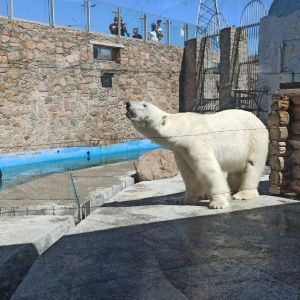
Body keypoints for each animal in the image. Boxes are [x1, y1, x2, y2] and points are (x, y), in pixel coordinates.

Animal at [125, 101, 268, 209]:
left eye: (144, 105)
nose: (128, 103)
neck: (183, 129)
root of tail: (258, 119)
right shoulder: (181, 150)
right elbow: (189, 174)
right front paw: (184, 199)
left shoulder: (196, 142)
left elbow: (208, 169)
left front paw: (218, 203)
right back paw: (233, 189)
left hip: (254, 139)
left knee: (252, 165)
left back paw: (242, 194)